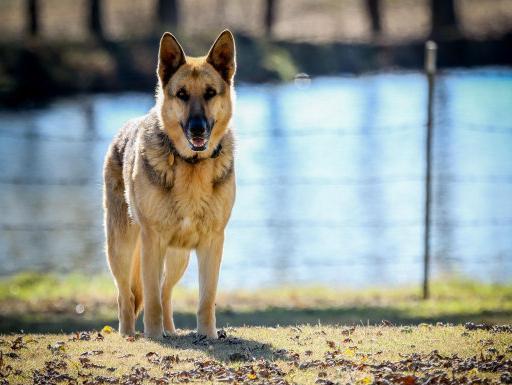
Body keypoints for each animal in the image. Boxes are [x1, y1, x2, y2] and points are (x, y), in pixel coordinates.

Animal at [104, 30, 236, 340]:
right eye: (182, 94)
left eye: (210, 93)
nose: (198, 129)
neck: (191, 164)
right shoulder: (152, 241)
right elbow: (150, 298)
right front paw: (153, 336)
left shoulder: (212, 242)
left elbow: (206, 298)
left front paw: (207, 336)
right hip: (121, 248)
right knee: (127, 295)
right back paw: (129, 334)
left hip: (179, 257)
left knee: (165, 291)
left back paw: (172, 332)